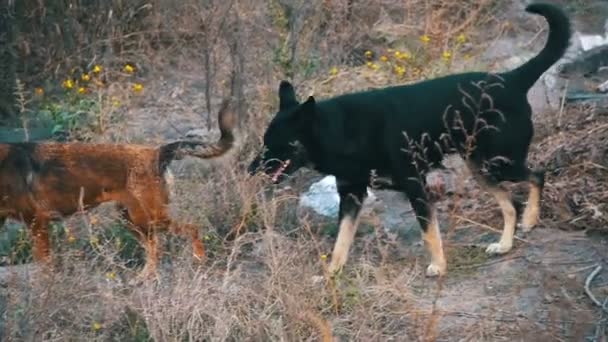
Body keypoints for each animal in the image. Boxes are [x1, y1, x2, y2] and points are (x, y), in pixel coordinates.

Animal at [0, 97, 235, 276]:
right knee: (155, 248)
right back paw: (144, 279)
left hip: (148, 217)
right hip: (132, 219)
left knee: (190, 229)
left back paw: (199, 262)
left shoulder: (37, 222)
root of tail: (157, 152)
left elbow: (45, 267)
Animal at [249, 3, 572, 278]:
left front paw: (439, 266)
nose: (250, 170)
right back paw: (505, 244)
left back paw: (530, 219)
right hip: (481, 167)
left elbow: (428, 231)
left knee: (537, 175)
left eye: (279, 143)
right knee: (510, 202)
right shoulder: (352, 195)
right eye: (264, 140)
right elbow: (341, 241)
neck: (341, 130)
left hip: (498, 162)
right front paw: (331, 274)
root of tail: (513, 79)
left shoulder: (415, 185)